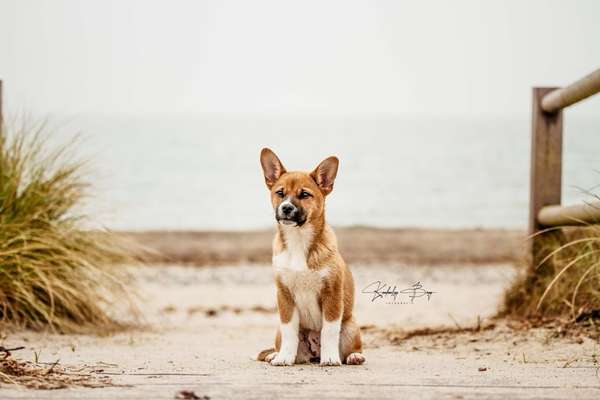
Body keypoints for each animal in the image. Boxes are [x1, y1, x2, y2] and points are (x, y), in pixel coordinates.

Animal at [254, 148, 364, 366]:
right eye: (280, 193)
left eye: (304, 194)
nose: (286, 208)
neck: (298, 240)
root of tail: (314, 354)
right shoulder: (284, 296)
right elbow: (290, 332)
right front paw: (284, 358)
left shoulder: (332, 295)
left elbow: (329, 331)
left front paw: (330, 358)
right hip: (278, 330)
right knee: (283, 342)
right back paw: (276, 354)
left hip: (350, 326)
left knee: (351, 347)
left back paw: (353, 356)